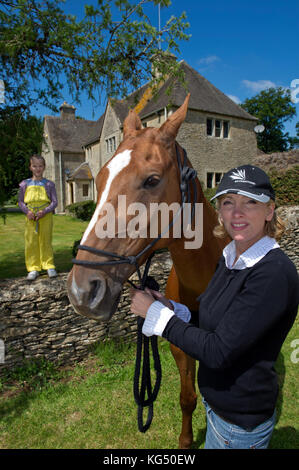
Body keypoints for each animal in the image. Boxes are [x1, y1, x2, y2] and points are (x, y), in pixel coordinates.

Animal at [67, 92, 227, 448]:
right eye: (99, 180)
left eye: (152, 180)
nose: (82, 291)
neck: (203, 282)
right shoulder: (179, 347)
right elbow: (188, 398)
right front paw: (186, 441)